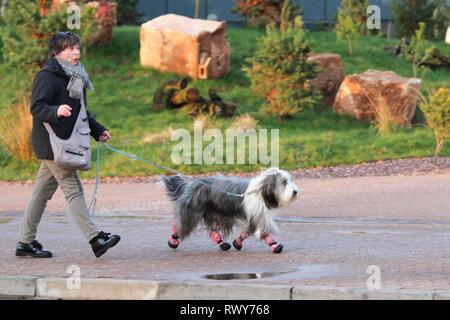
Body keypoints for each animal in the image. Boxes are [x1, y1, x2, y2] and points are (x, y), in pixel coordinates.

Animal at [163, 169, 298, 254]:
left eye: (290, 180)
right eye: (284, 182)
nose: (295, 192)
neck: (260, 191)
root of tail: (189, 184)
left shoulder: (252, 217)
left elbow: (246, 232)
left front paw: (237, 242)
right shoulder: (256, 215)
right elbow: (263, 232)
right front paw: (275, 246)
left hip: (213, 212)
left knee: (212, 231)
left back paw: (221, 243)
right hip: (193, 211)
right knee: (179, 225)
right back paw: (173, 240)